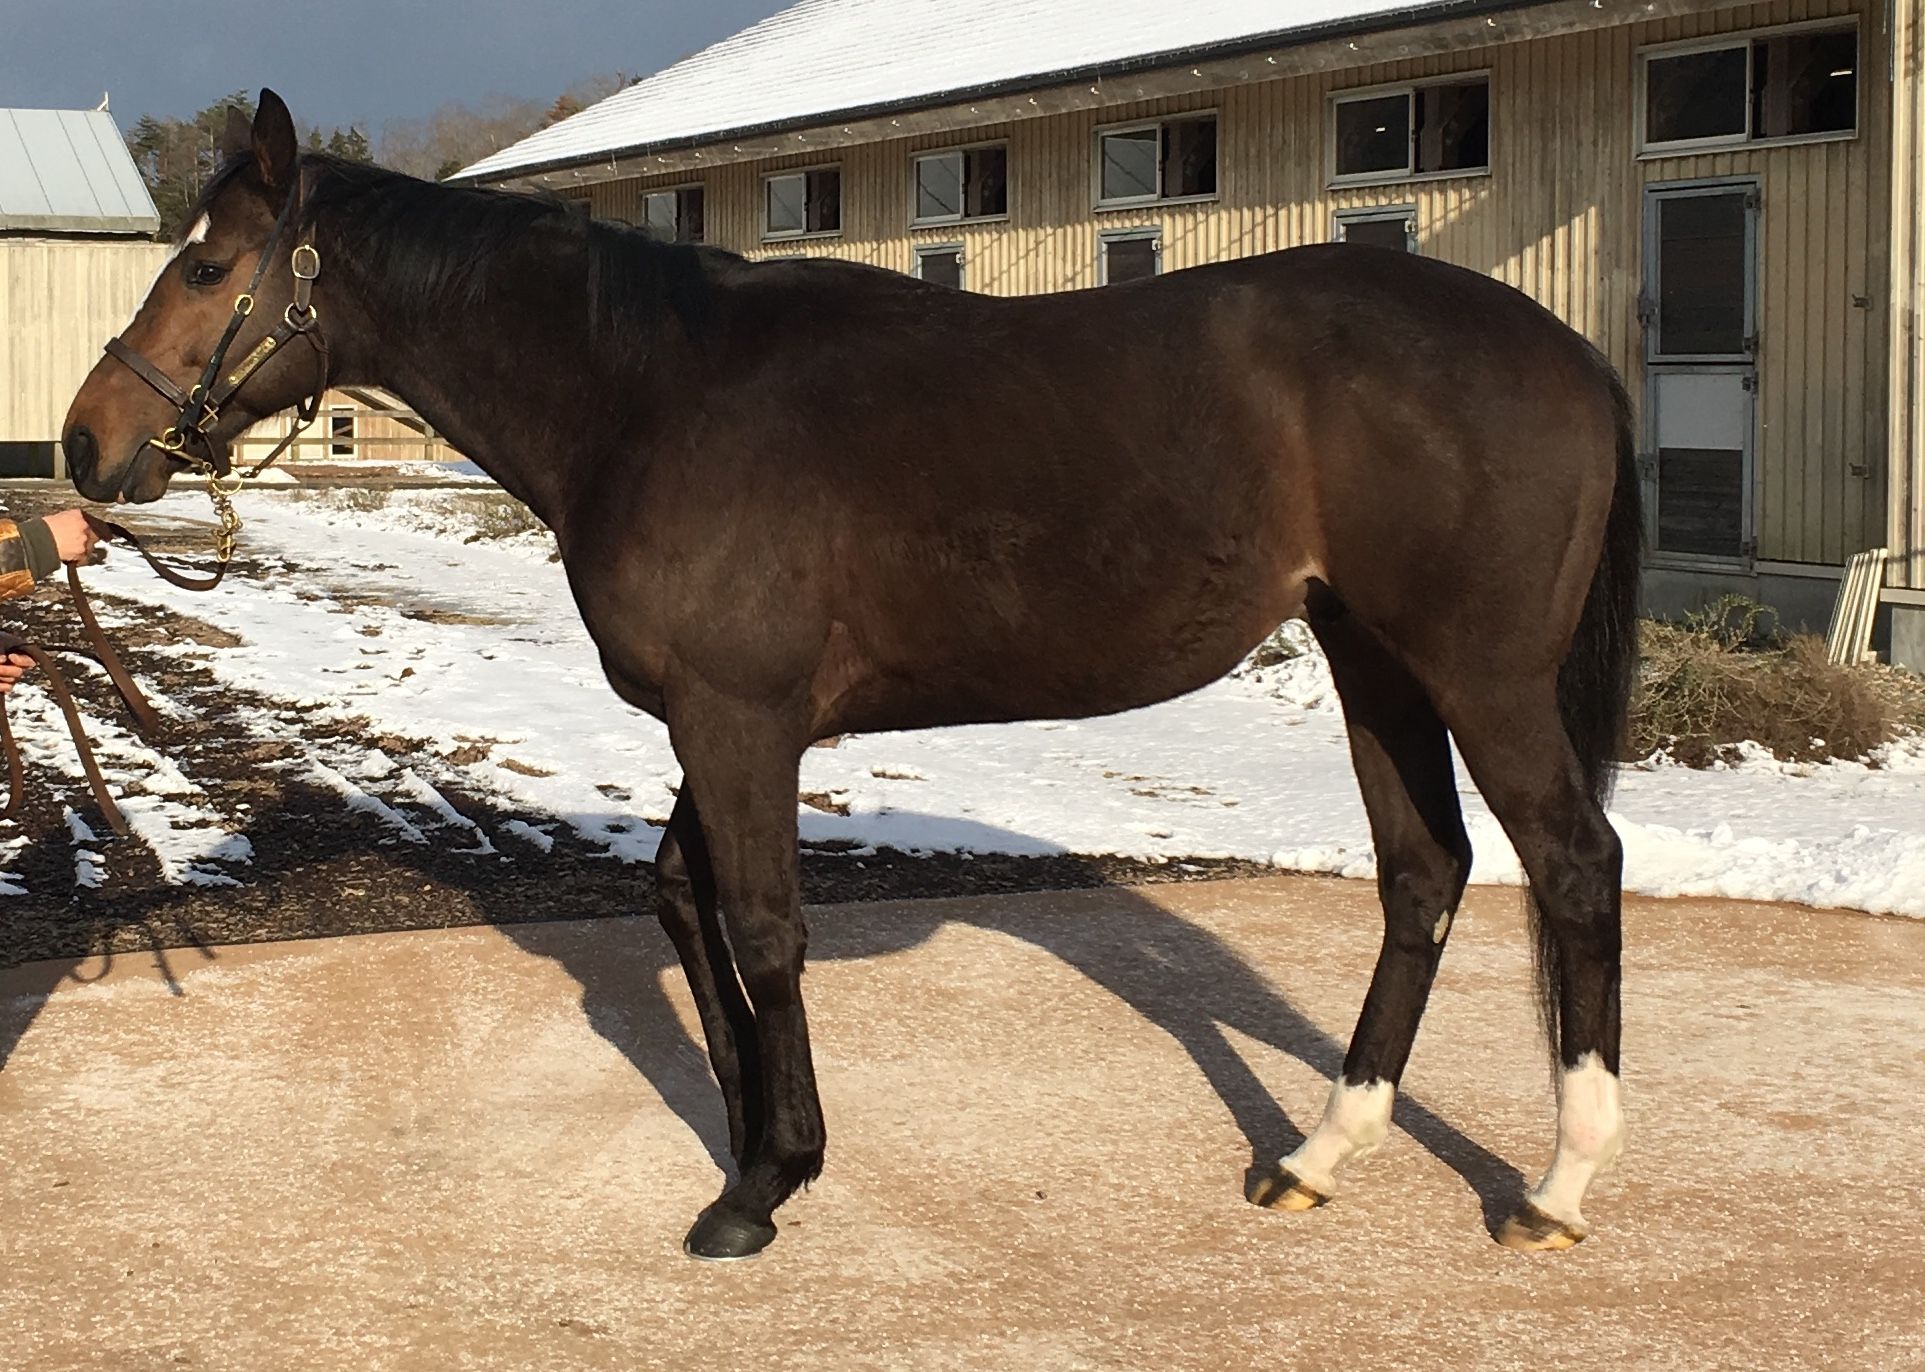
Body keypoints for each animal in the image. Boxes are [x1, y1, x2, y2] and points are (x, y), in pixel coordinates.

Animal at [71, 90, 1640, 1254]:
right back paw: (1317, 1154)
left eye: (205, 268)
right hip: (1371, 659)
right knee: (1423, 873)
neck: (648, 395)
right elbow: (681, 897)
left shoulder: (740, 719)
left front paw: (762, 1186)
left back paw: (1558, 1186)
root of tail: (1566, 351)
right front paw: (755, 1134)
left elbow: (765, 928)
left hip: (1481, 676)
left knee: (1571, 865)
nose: (87, 446)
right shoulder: (722, 725)